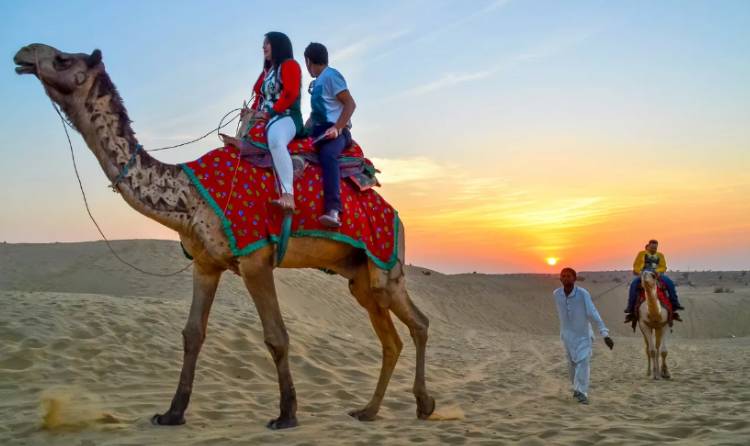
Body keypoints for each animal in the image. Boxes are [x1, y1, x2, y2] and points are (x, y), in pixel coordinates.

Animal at [11, 44, 438, 428]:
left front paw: (286, 415)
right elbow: (192, 334)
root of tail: (396, 215)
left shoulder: (254, 258)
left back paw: (423, 404)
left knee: (418, 323)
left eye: (63, 59)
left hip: (385, 264)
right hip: (359, 275)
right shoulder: (206, 263)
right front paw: (172, 413)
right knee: (392, 338)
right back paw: (369, 411)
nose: (23, 53)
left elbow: (276, 336)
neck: (189, 195)